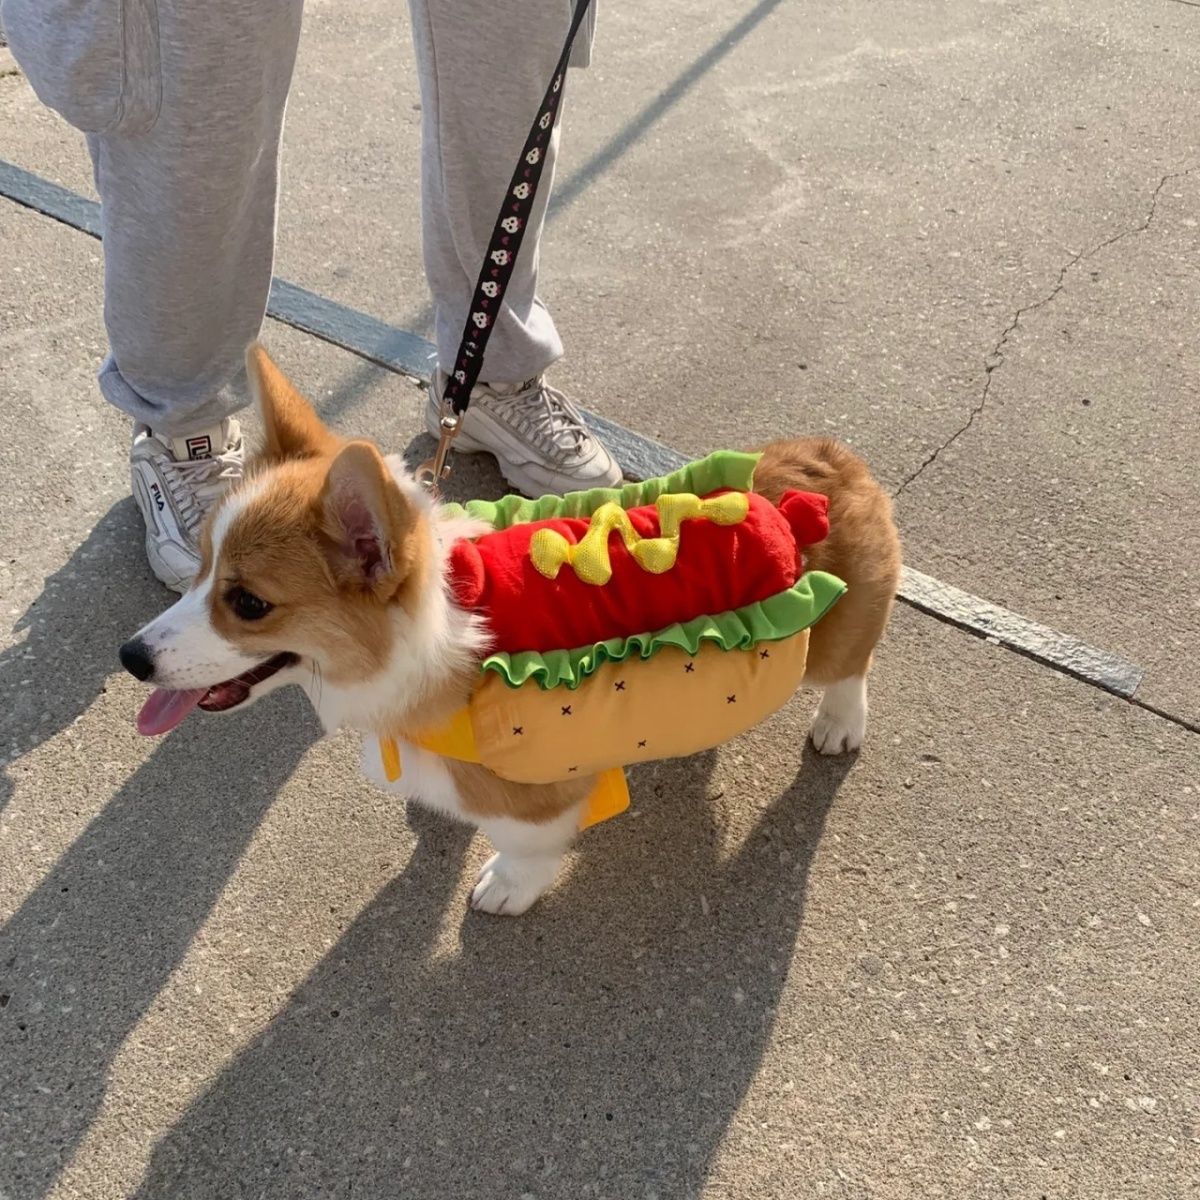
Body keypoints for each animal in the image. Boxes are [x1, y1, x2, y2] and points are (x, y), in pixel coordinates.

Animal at [119, 343, 902, 912]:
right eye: (200, 568)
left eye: (248, 602)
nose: (130, 656)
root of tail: (823, 461)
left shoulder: (541, 799)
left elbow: (525, 849)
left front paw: (504, 888)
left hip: (830, 639)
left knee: (850, 669)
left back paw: (840, 725)